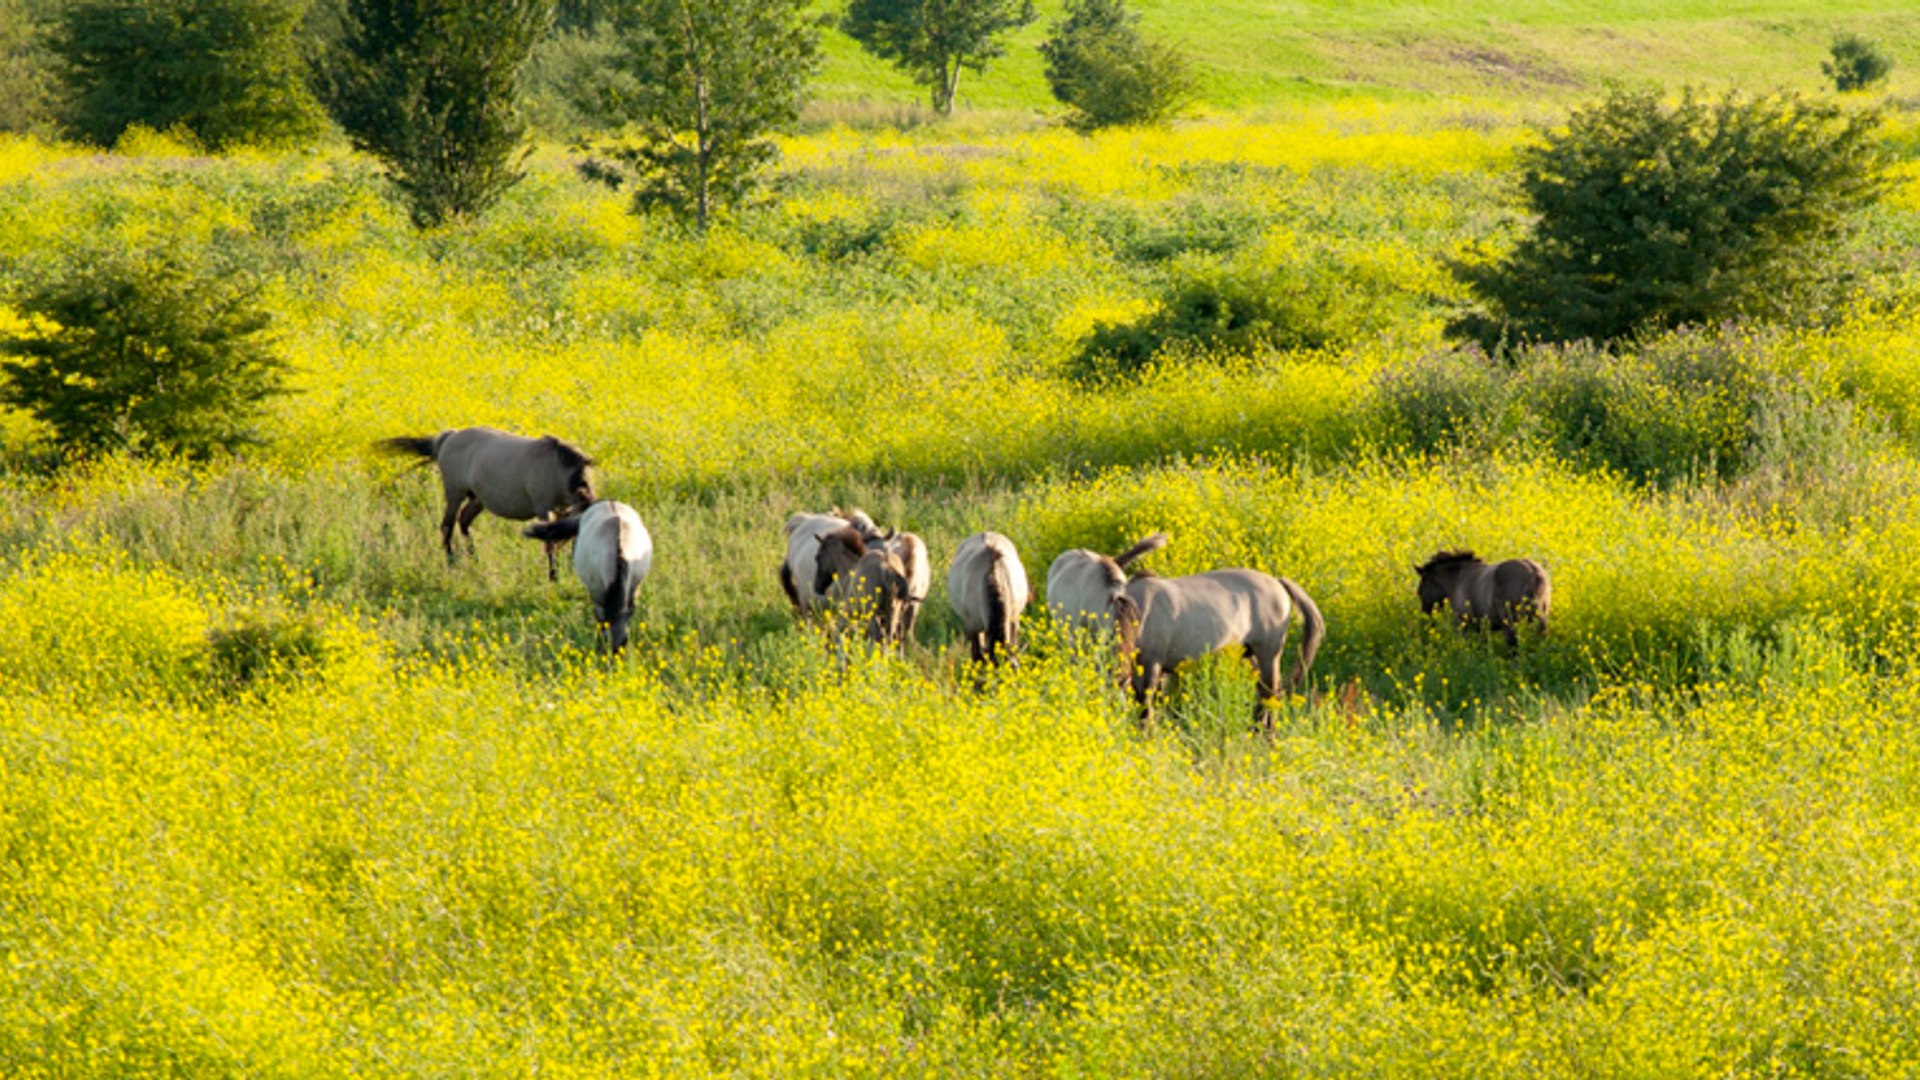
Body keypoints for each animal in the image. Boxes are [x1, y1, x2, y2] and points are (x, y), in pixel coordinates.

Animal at [377, 426, 595, 581]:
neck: (558, 470)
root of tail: (450, 436)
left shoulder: (564, 512)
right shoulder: (544, 510)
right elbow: (550, 543)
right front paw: (554, 576)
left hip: (477, 499)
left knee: (463, 521)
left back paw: (475, 559)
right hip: (454, 494)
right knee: (447, 526)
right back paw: (451, 561)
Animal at [524, 500, 653, 654]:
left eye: (624, 642)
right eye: (606, 642)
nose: (613, 659)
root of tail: (608, 502)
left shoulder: (633, 588)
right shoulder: (597, 592)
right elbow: (600, 618)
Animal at [1124, 568, 1325, 730]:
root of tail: (1278, 582)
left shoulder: (1151, 664)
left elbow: (1145, 706)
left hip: (1268, 655)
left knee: (1271, 693)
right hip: (1250, 655)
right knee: (1264, 692)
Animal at [1415, 550, 1551, 647]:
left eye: (1420, 591)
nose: (1425, 614)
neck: (1458, 579)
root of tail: (1533, 572)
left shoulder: (1462, 622)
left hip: (1509, 622)